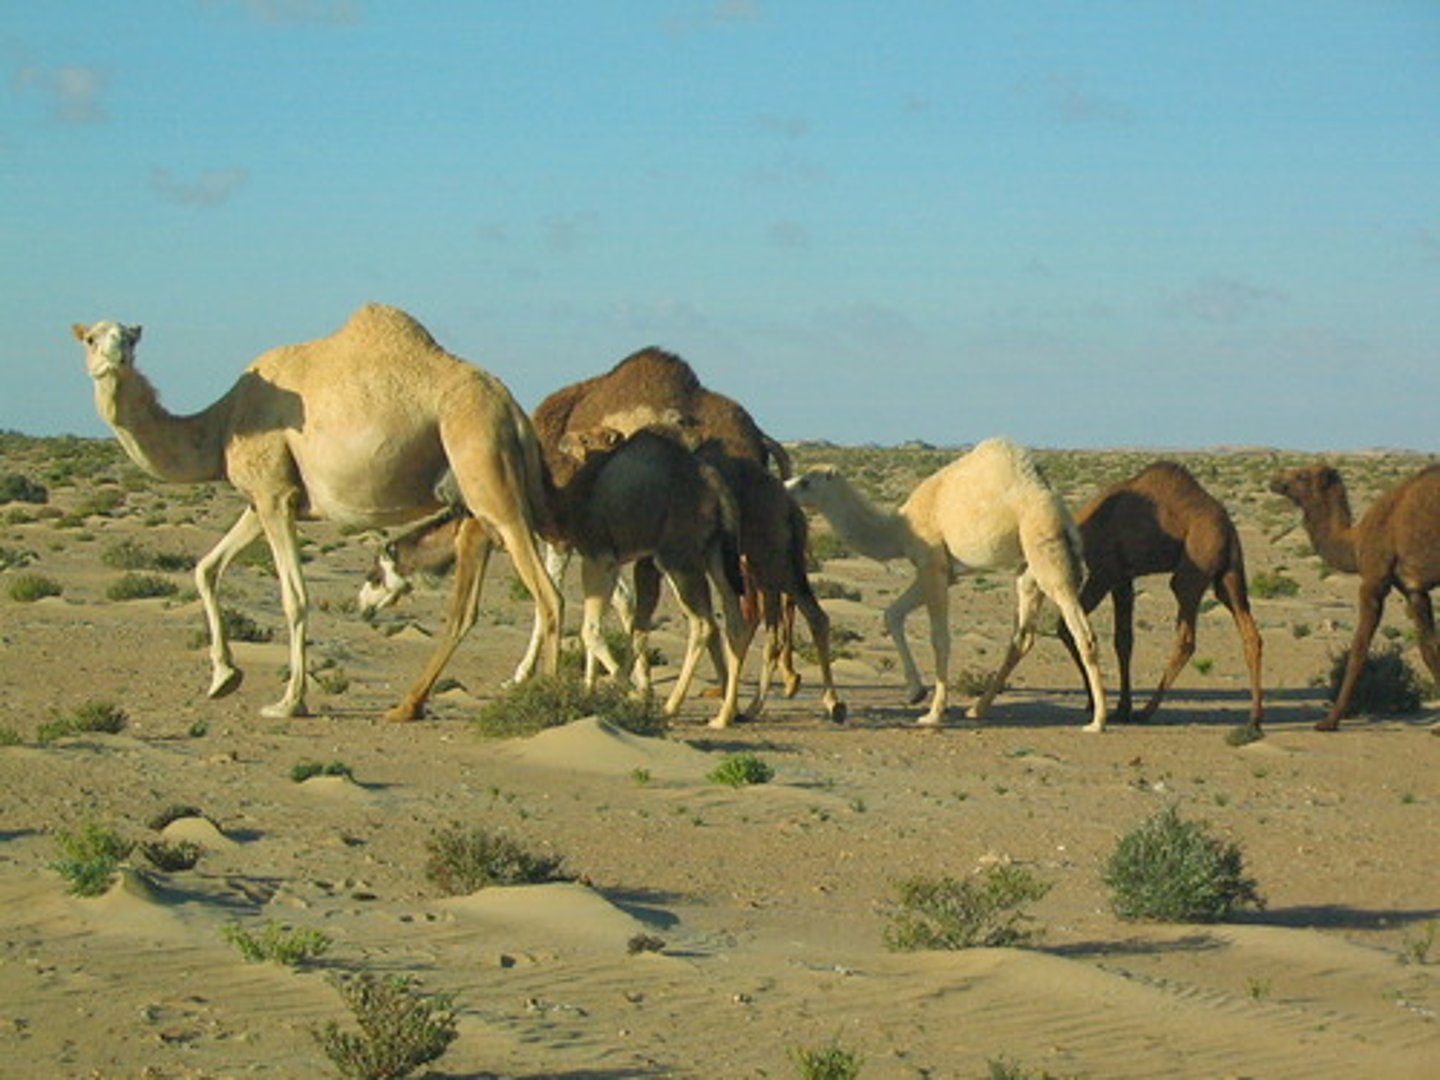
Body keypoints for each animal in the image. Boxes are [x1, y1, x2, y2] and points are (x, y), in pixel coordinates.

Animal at [74, 305, 562, 721]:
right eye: (92, 338)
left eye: (129, 339)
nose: (115, 357)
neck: (222, 424)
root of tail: (514, 411)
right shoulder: (263, 498)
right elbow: (206, 568)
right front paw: (224, 678)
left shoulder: (274, 495)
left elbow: (294, 597)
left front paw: (289, 702)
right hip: (493, 495)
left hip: (484, 468)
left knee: (548, 595)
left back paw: (550, 702)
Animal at [786, 437, 1107, 730]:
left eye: (805, 481)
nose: (784, 488)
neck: (899, 527)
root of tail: (1063, 513)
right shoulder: (942, 572)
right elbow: (892, 614)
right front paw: (916, 692)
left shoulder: (932, 565)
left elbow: (939, 638)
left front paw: (933, 713)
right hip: (1027, 568)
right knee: (1022, 636)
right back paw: (977, 708)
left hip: (1044, 549)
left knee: (1083, 633)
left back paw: (1097, 720)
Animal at [1061, 461, 1264, 728]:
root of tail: (1229, 528)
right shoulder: (1123, 578)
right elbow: (1123, 640)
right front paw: (1121, 708)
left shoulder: (1104, 573)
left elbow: (1069, 630)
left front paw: (1095, 704)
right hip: (1229, 575)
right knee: (1251, 635)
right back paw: (1254, 718)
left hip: (1191, 570)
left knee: (1186, 639)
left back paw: (1146, 711)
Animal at [1269, 462, 1440, 730]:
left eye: (1302, 475)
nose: (1274, 481)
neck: (1356, 541)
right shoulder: (1414, 590)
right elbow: (1430, 649)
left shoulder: (1373, 581)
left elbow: (1358, 651)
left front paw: (1329, 721)